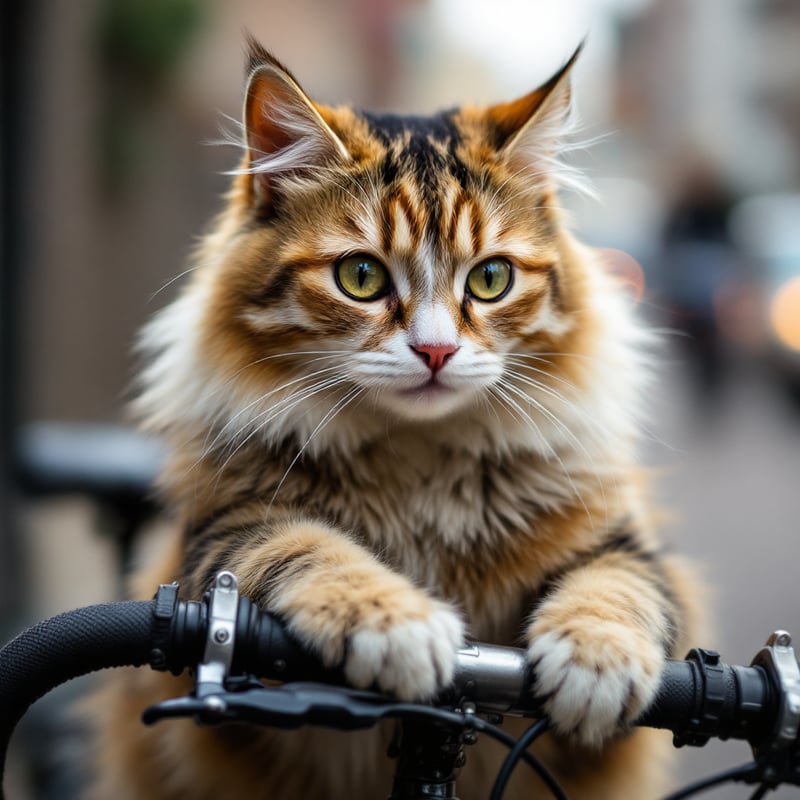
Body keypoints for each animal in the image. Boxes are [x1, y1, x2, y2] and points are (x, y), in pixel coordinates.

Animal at [89, 34, 700, 796]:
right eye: (361, 278)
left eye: (490, 280)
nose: (436, 351)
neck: (419, 461)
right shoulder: (223, 539)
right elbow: (314, 551)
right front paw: (398, 626)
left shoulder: (631, 547)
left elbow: (614, 589)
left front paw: (596, 662)